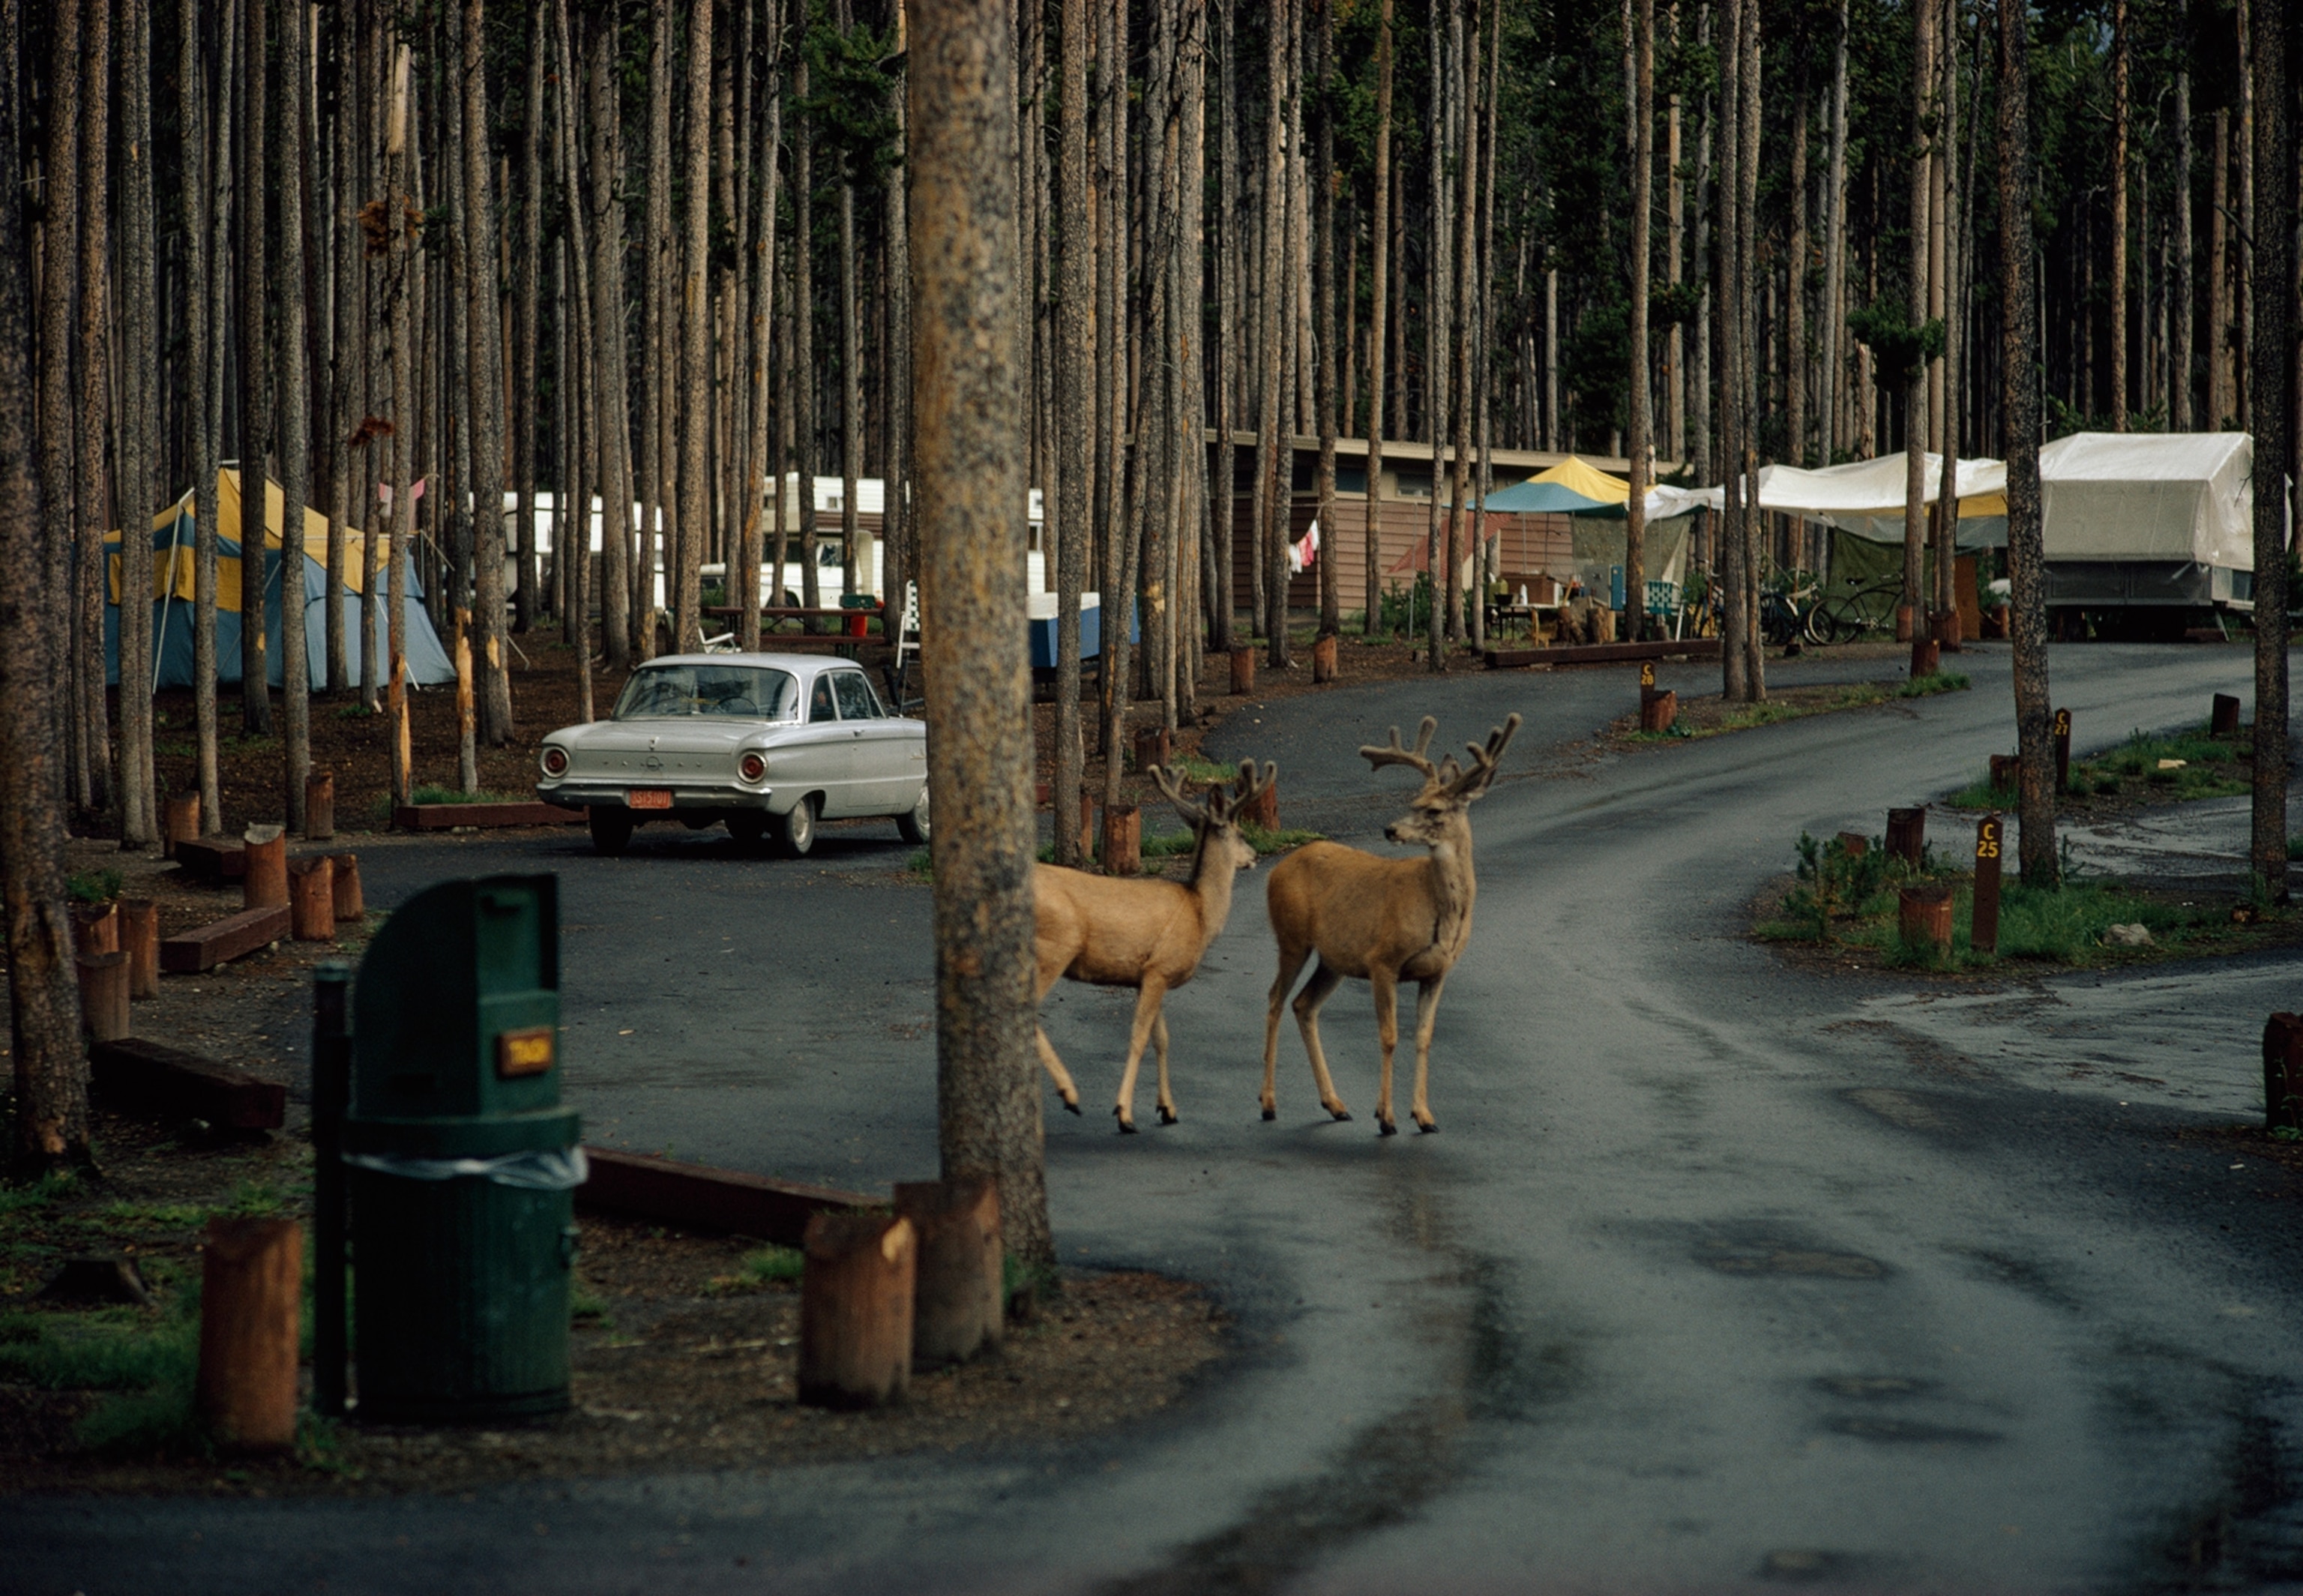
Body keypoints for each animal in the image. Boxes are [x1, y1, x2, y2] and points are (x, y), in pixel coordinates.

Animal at [1033, 758, 1278, 1133]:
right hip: (1054, 946)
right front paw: (1124, 1113)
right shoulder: (1160, 968)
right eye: (1240, 833)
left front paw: (1167, 1109)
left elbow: (1161, 1039)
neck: (1200, 909)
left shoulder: (1151, 973)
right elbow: (1138, 1037)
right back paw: (1069, 1095)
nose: (1252, 856)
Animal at [1260, 714, 1521, 1135]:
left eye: (1434, 810)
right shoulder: (1383, 959)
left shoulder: (1438, 971)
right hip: (1292, 938)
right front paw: (1386, 1117)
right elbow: (1389, 1036)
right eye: (1412, 802)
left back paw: (1335, 1105)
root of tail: (1275, 870)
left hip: (1334, 959)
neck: (1439, 912)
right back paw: (1268, 1104)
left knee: (1303, 1005)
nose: (1390, 829)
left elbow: (1424, 1037)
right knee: (1275, 1000)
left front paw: (1425, 1116)